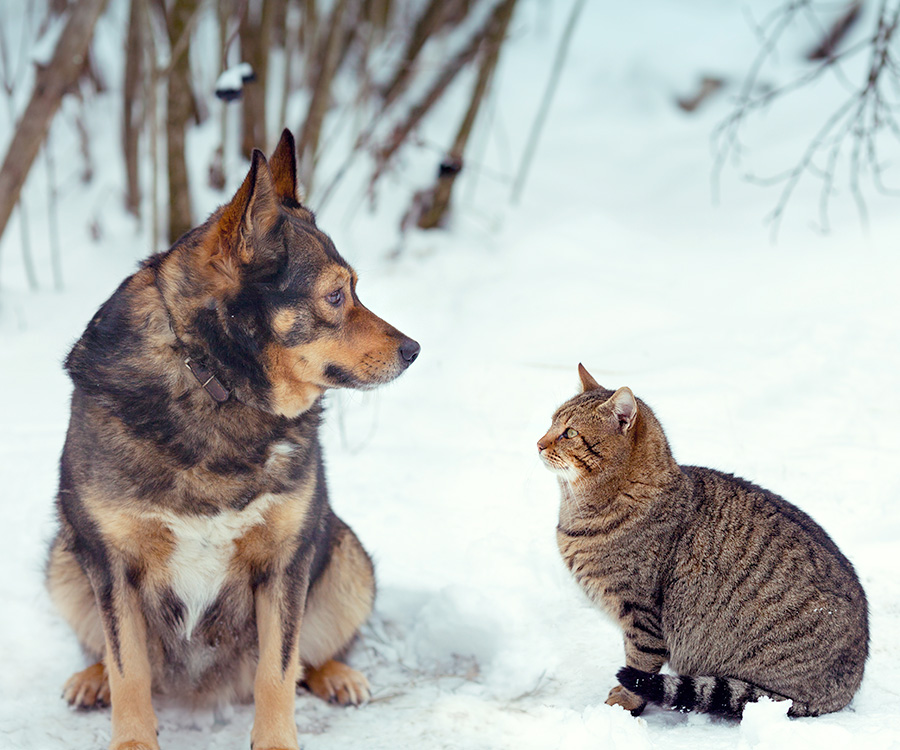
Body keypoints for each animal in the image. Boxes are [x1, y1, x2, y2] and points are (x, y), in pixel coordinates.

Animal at [44, 131, 420, 750]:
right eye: (336, 296)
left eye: (355, 290)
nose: (414, 350)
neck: (214, 382)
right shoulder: (112, 563)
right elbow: (129, 670)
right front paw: (131, 736)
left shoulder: (285, 561)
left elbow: (279, 670)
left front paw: (276, 742)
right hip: (64, 557)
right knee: (105, 650)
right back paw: (90, 677)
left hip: (345, 555)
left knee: (310, 657)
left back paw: (338, 674)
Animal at [536, 368, 868, 720]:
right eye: (552, 423)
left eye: (570, 432)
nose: (538, 444)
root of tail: (849, 688)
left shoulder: (641, 613)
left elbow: (639, 663)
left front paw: (626, 703)